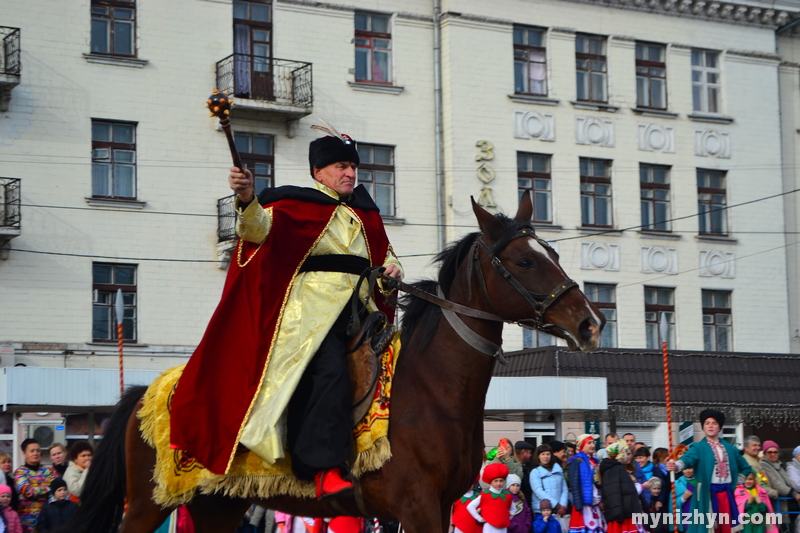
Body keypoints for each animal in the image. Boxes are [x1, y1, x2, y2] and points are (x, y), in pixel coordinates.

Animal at [70, 195, 608, 532]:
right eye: (524, 261)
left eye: (553, 252)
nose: (590, 323)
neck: (432, 392)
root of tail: (146, 393)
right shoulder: (417, 507)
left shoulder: (441, 505)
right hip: (149, 503)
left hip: (219, 506)